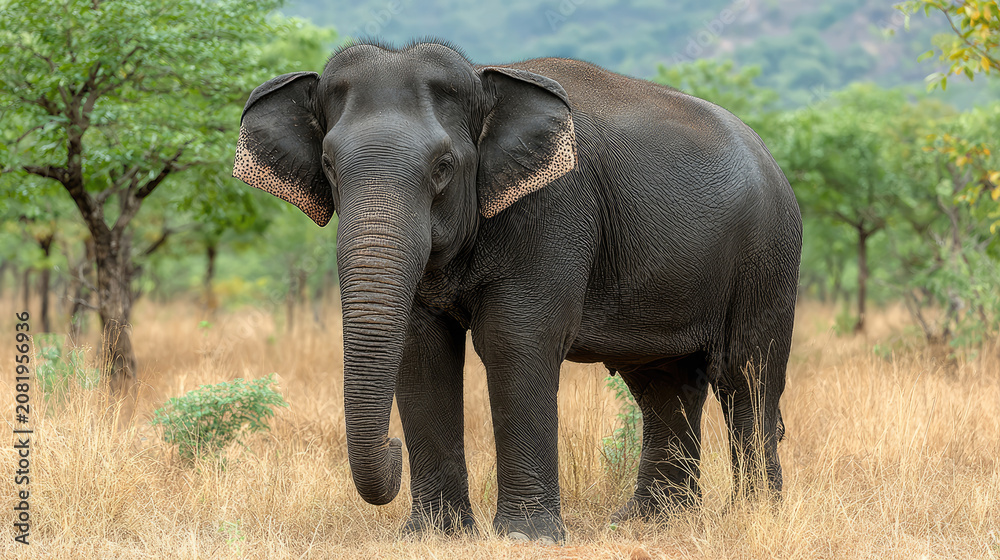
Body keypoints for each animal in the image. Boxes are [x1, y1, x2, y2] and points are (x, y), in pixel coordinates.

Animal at [233, 39, 802, 543]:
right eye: (329, 166)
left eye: (443, 167)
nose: (392, 449)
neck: (485, 80)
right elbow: (422, 351)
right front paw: (434, 536)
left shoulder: (554, 211)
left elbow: (515, 342)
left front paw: (525, 538)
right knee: (664, 385)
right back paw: (648, 523)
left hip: (768, 256)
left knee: (746, 377)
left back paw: (753, 517)